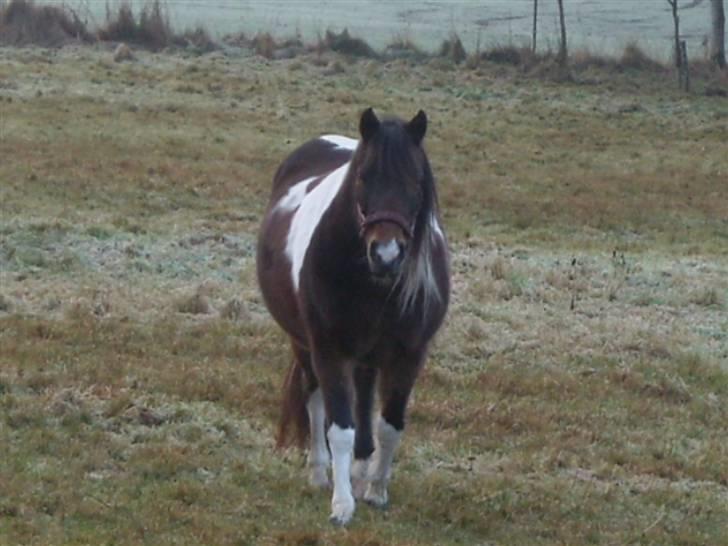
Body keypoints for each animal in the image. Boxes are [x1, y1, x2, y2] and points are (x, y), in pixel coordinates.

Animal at [256, 107, 450, 524]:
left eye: (417, 180)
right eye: (363, 176)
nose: (387, 254)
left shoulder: (409, 355)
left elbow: (388, 425)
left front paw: (376, 490)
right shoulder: (329, 351)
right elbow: (339, 427)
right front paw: (342, 504)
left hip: (366, 358)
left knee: (363, 405)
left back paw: (361, 474)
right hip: (305, 347)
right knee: (314, 401)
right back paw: (319, 473)